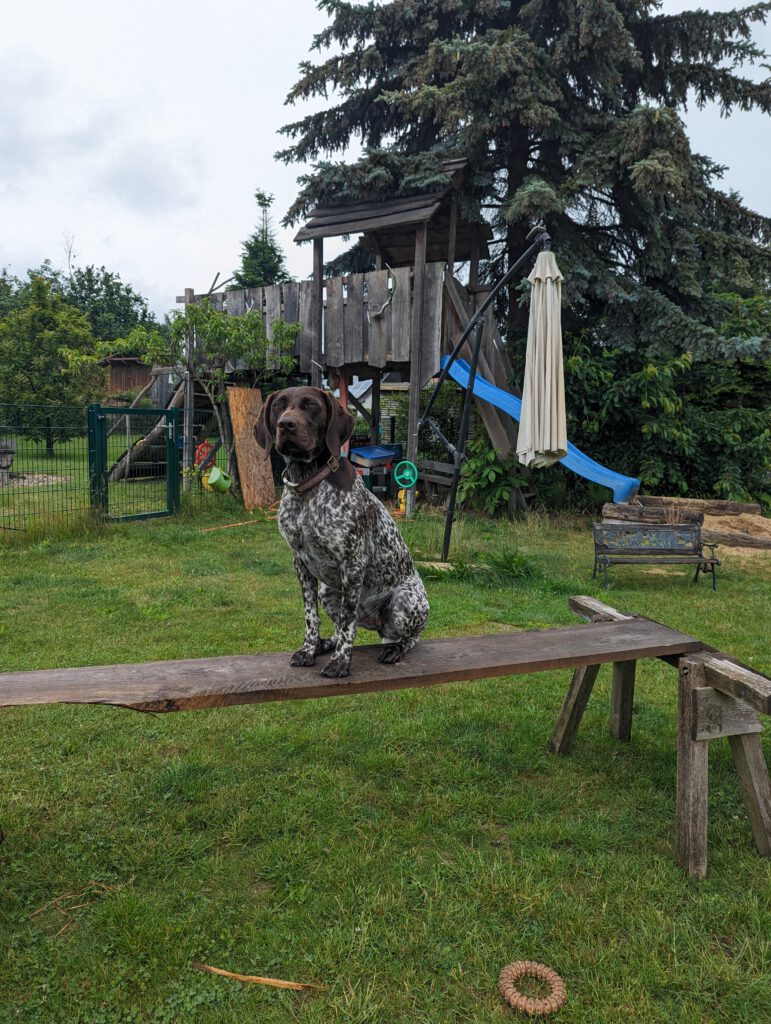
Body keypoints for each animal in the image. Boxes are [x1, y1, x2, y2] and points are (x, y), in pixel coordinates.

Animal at [255, 386, 429, 678]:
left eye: (311, 405)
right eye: (279, 405)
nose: (286, 425)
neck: (307, 485)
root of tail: (375, 622)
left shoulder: (353, 563)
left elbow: (348, 625)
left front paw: (340, 662)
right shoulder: (300, 563)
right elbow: (311, 617)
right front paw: (309, 649)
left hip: (406, 600)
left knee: (409, 638)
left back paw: (394, 649)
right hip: (327, 591)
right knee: (341, 628)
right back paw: (325, 644)